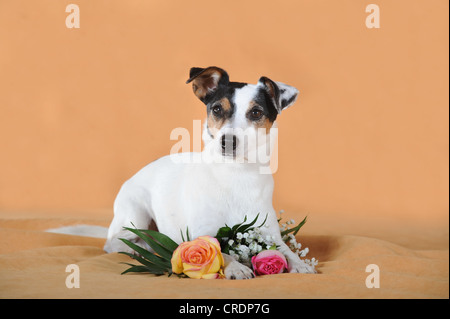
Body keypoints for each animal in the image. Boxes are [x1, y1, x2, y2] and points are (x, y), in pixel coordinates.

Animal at [104, 67, 316, 280]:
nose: (227, 141)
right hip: (135, 215)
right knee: (112, 241)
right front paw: (237, 267)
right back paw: (133, 248)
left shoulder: (269, 233)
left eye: (256, 112)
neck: (236, 173)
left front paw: (300, 264)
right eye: (217, 109)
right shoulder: (200, 233)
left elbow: (286, 250)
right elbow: (220, 251)